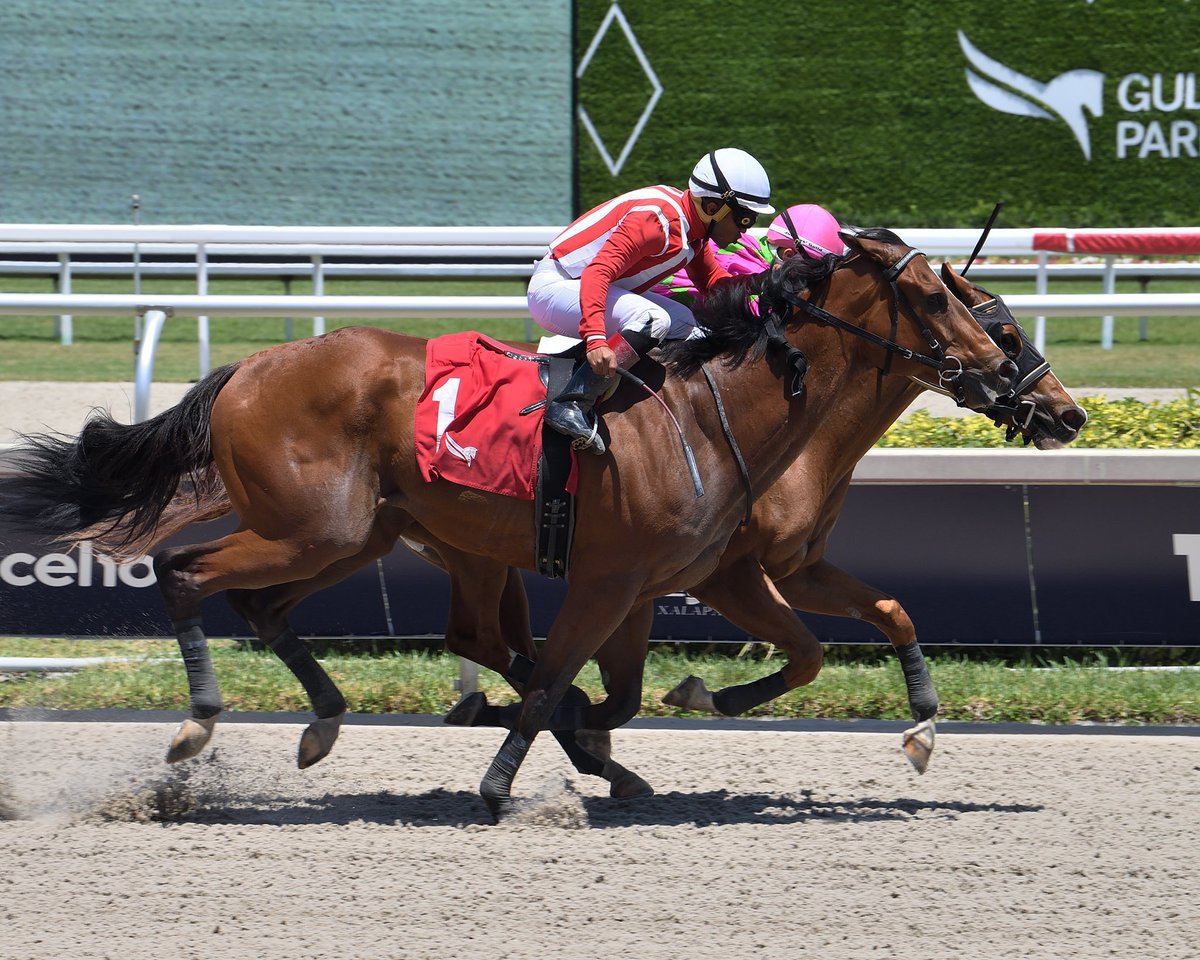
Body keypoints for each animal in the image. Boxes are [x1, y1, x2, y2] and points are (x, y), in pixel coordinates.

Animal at [0, 226, 1022, 816]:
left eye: (993, 316)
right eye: (938, 298)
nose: (1016, 387)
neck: (712, 412)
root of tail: (248, 369)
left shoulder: (655, 583)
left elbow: (621, 688)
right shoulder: (642, 577)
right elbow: (560, 680)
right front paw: (505, 784)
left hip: (362, 535)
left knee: (282, 610)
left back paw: (323, 720)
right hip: (317, 528)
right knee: (187, 574)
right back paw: (196, 728)